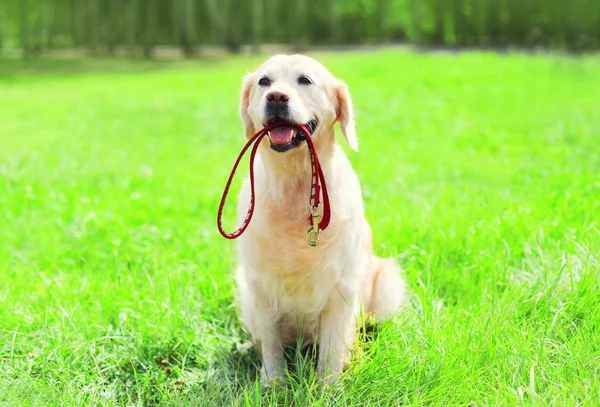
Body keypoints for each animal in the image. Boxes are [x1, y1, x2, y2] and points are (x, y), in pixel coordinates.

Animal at [234, 54, 408, 386]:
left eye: (305, 80)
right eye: (264, 81)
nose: (276, 97)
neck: (295, 186)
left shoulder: (341, 288)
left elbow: (331, 351)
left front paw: (329, 388)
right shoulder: (259, 285)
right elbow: (271, 346)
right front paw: (272, 383)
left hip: (386, 284)